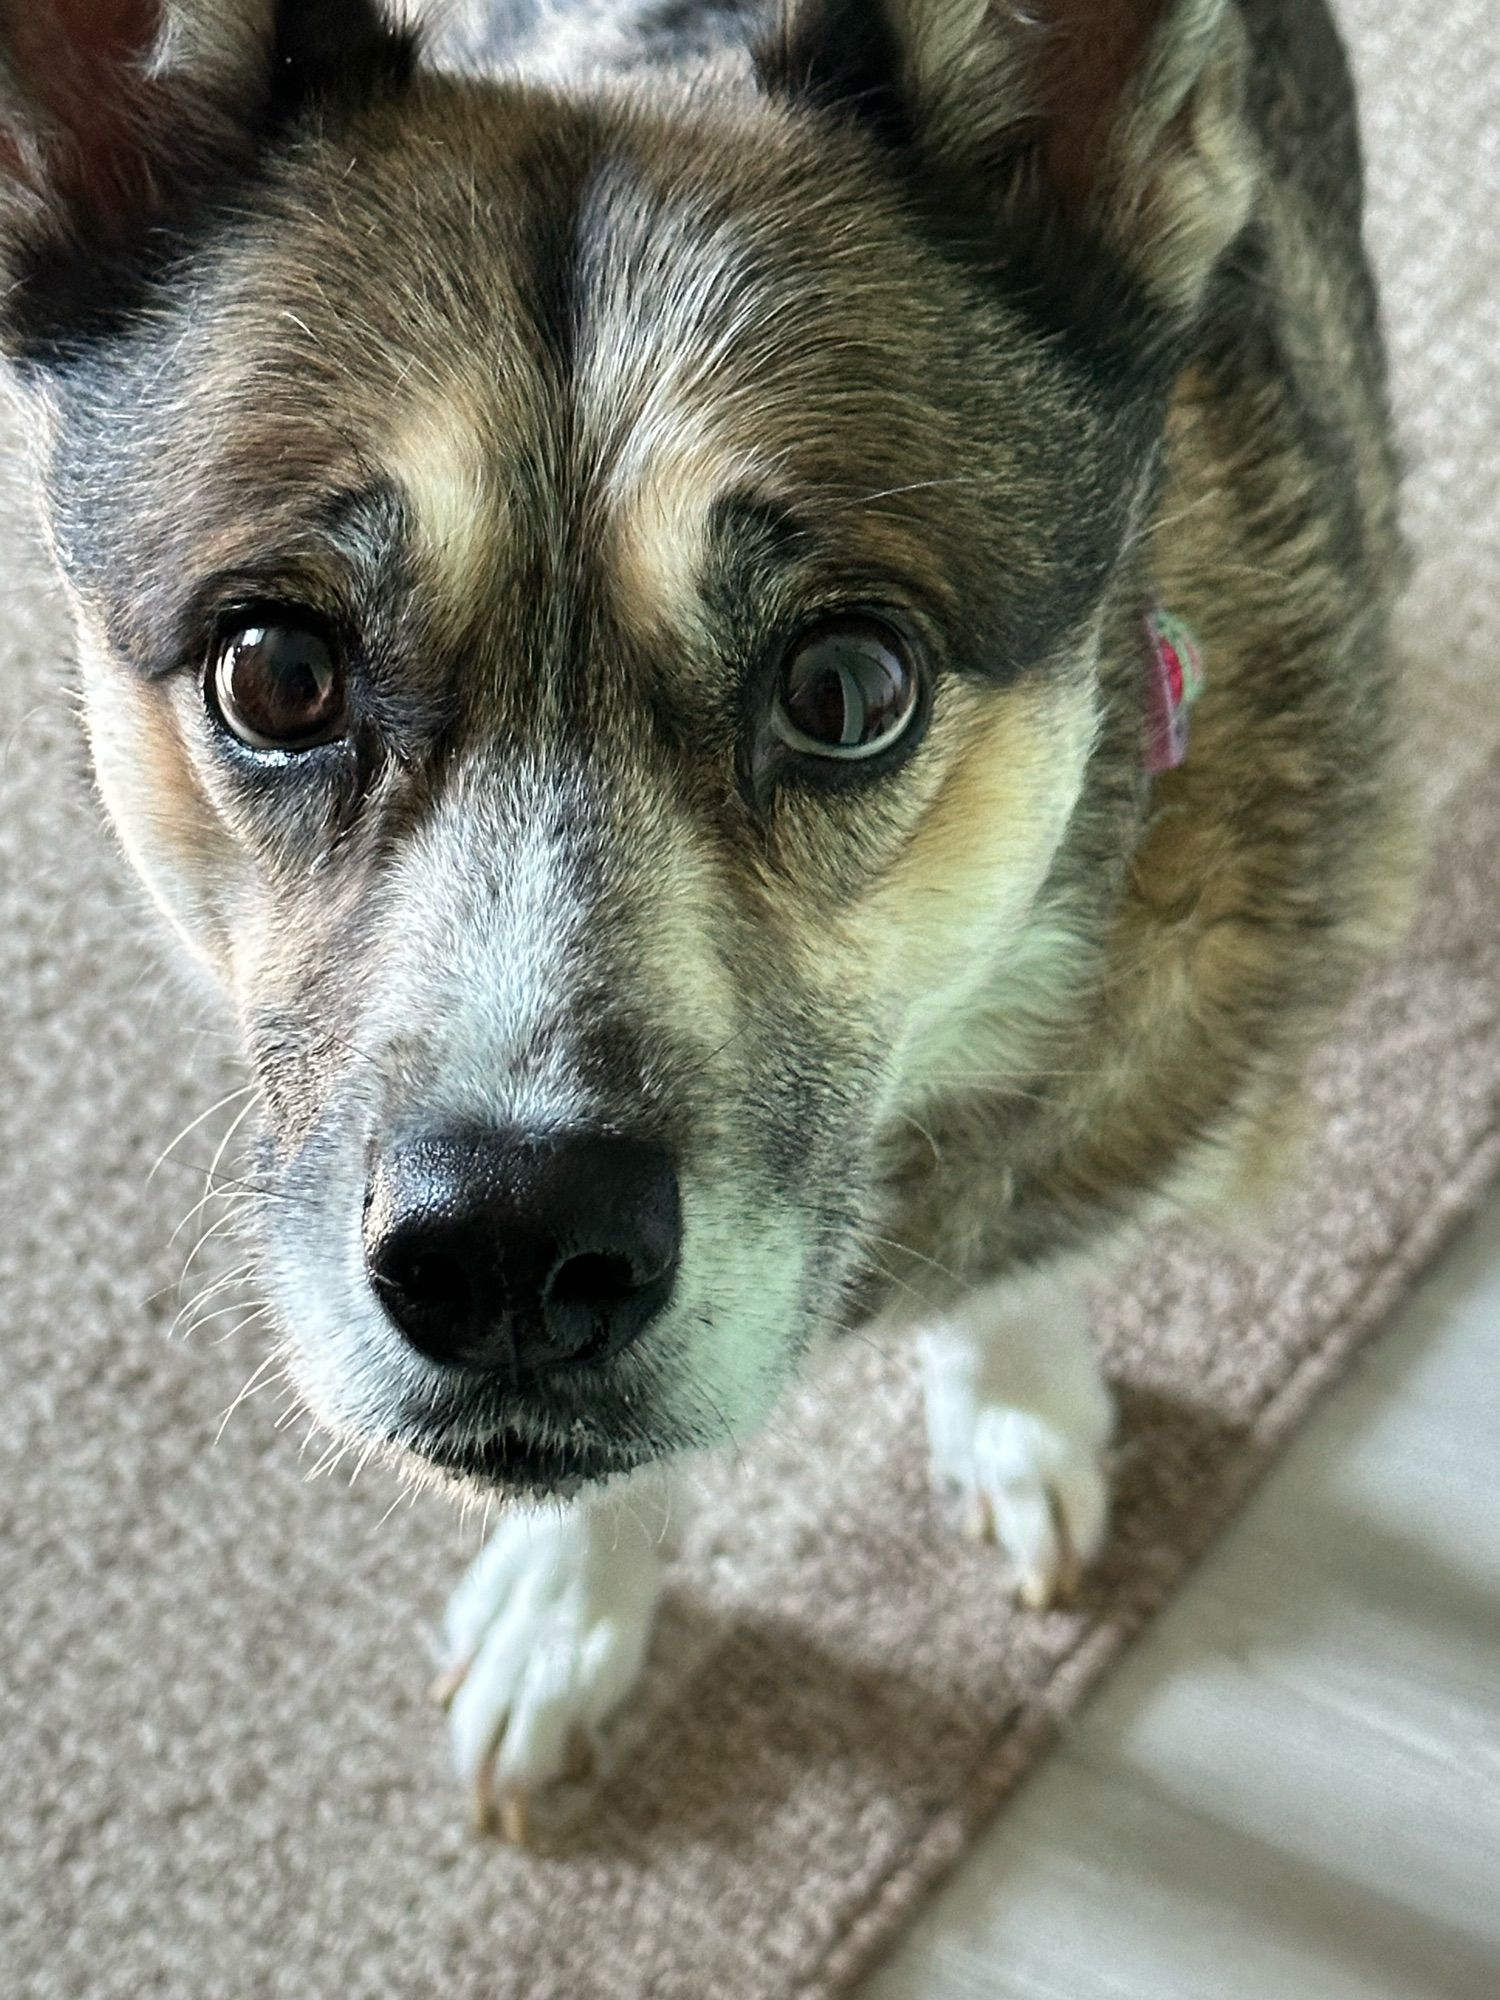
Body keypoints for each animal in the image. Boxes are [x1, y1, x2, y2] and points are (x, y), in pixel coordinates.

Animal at [0, 0, 1416, 1840]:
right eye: (276, 671)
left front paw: (1018, 1405)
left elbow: (1031, 1244)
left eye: (849, 686)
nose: (506, 1254)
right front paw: (570, 1605)